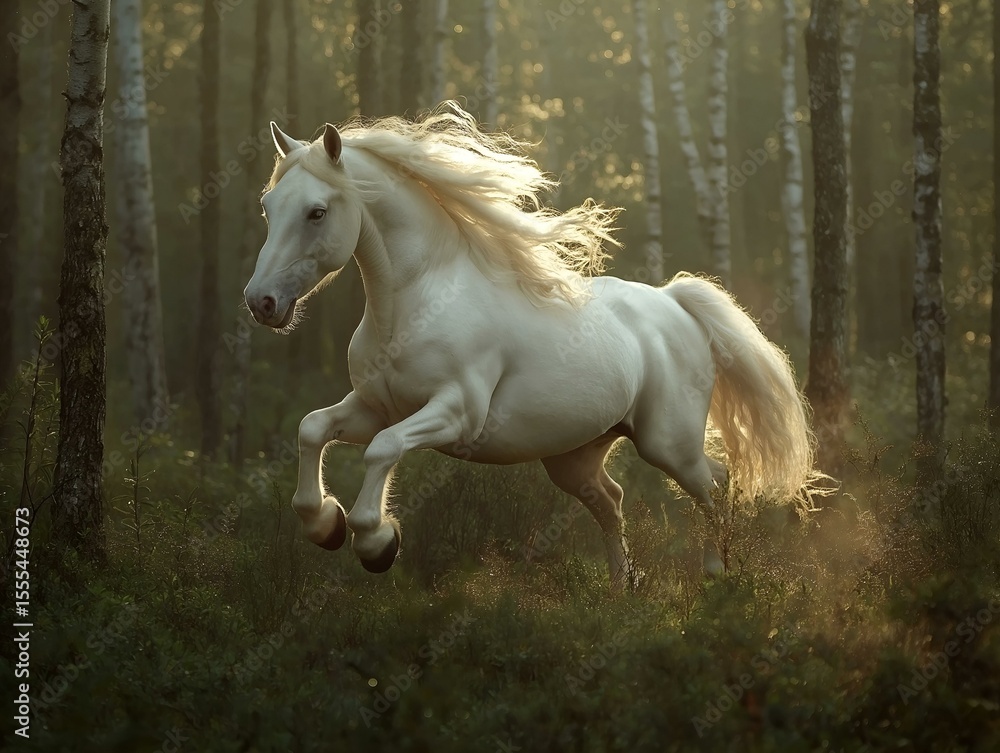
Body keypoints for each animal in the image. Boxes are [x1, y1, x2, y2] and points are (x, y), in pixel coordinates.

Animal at [243, 102, 819, 588]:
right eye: (268, 207)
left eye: (317, 212)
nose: (261, 302)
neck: (412, 306)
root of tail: (674, 302)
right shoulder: (375, 407)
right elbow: (312, 428)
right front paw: (325, 525)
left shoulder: (454, 414)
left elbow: (382, 450)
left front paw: (376, 541)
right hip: (574, 456)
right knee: (612, 500)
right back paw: (622, 590)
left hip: (667, 442)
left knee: (716, 486)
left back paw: (717, 580)